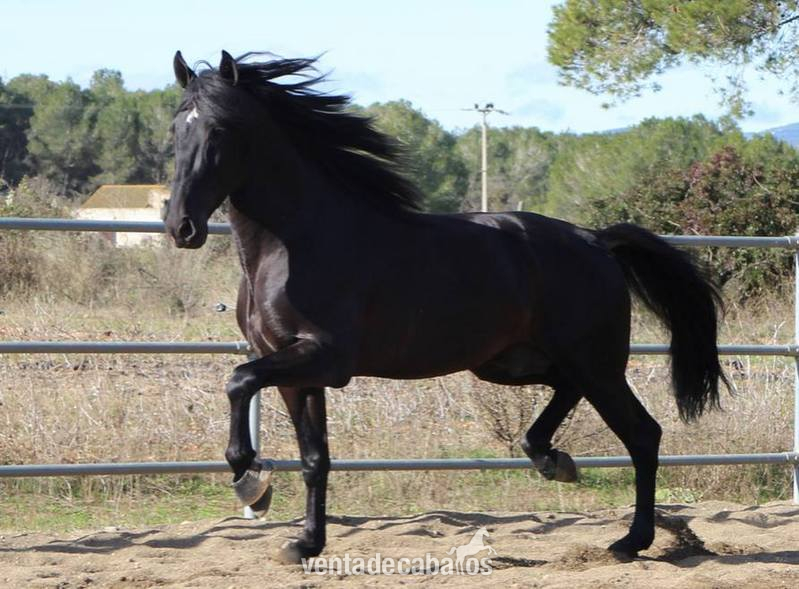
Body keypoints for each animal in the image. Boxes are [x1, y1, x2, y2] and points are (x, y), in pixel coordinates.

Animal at [164, 50, 729, 563]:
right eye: (175, 130)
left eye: (219, 131)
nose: (180, 227)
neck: (296, 245)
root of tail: (596, 240)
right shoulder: (292, 370)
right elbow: (313, 458)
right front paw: (304, 542)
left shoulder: (324, 358)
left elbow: (237, 380)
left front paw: (249, 481)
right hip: (512, 363)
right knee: (569, 397)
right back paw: (553, 460)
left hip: (595, 363)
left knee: (643, 434)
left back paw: (631, 541)